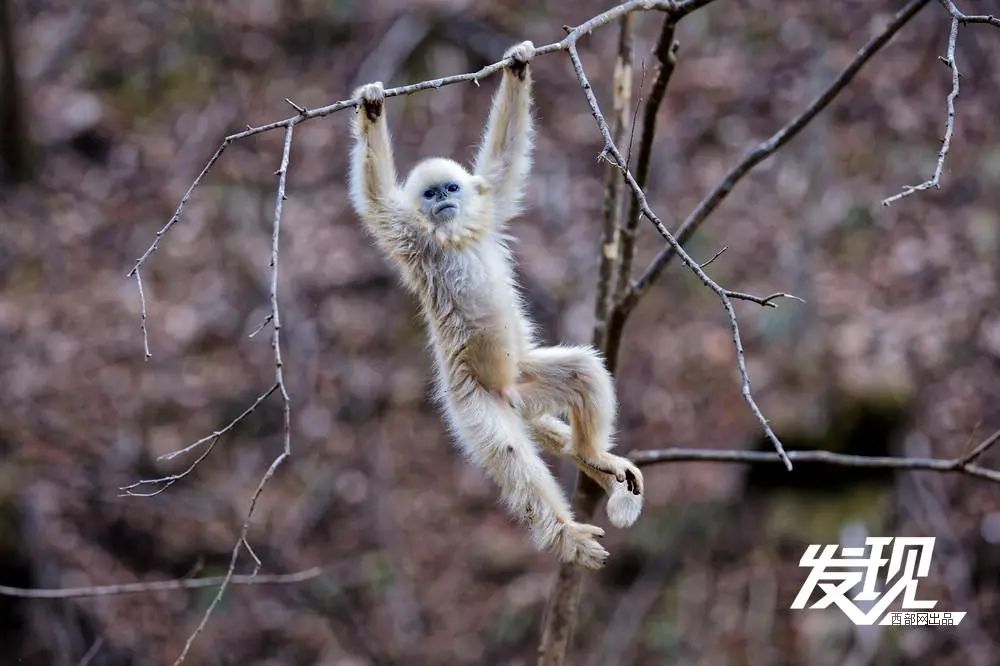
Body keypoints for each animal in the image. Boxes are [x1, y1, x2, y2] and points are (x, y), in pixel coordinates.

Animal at [348, 40, 644, 564]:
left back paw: (593, 455)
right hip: (472, 405)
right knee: (510, 455)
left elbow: (503, 167)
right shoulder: (407, 238)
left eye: (451, 188)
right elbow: (377, 199)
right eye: (430, 193)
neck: (452, 238)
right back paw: (566, 532)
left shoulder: (485, 214)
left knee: (582, 371)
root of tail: (506, 393)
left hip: (526, 380)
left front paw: (519, 64)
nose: (443, 200)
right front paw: (372, 107)